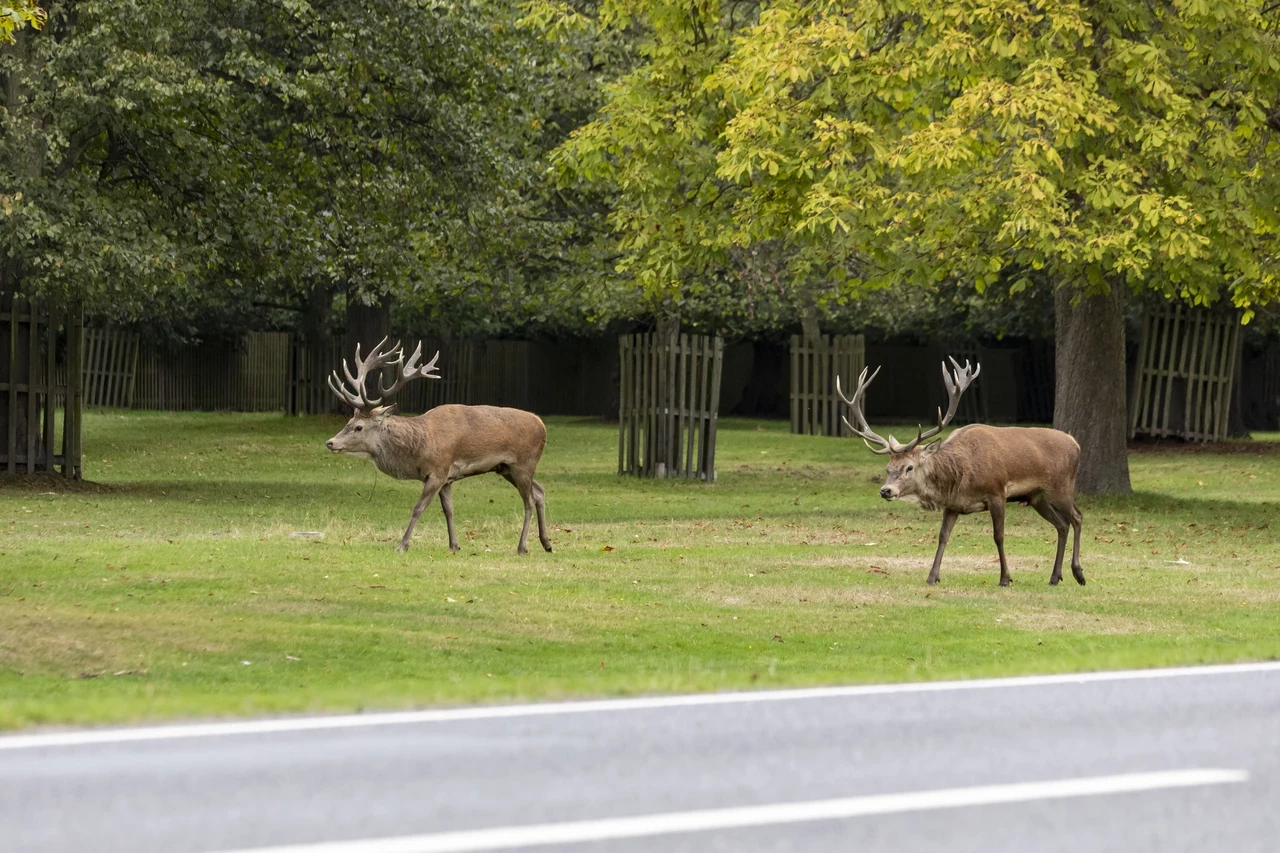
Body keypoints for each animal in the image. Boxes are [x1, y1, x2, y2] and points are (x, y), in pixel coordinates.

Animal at [325, 335, 550, 555]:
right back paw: (546, 543)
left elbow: (418, 507)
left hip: (524, 463)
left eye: (359, 427)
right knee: (539, 491)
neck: (421, 446)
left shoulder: (438, 471)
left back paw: (522, 547)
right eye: (348, 422)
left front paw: (402, 545)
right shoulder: (447, 478)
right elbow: (448, 509)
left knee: (529, 500)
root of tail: (542, 425)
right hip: (506, 468)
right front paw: (454, 545)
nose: (330, 442)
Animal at [834, 356, 1085, 584]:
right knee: (1062, 525)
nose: (886, 491)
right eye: (888, 468)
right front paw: (932, 576)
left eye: (909, 467)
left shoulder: (997, 493)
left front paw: (1005, 578)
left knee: (1077, 517)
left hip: (1061, 487)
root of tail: (1075, 443)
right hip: (1036, 497)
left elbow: (999, 536)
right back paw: (1055, 577)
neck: (959, 479)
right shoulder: (953, 505)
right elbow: (943, 536)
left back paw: (1078, 573)